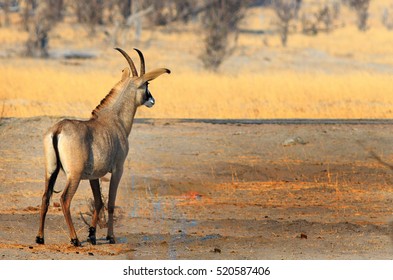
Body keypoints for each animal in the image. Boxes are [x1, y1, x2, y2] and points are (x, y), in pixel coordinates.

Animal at [36, 49, 170, 246]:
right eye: (146, 84)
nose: (152, 100)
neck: (115, 119)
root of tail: (58, 129)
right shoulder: (118, 169)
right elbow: (111, 203)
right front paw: (110, 236)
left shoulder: (94, 175)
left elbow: (98, 202)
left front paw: (92, 235)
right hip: (74, 175)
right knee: (64, 199)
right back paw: (74, 239)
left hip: (50, 170)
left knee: (46, 197)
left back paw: (40, 238)